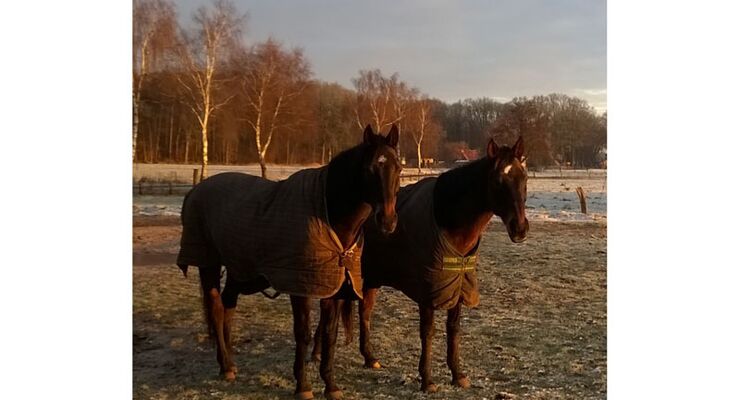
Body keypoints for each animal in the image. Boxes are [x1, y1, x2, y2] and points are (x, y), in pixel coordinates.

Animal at [177, 123, 402, 398]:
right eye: (370, 168)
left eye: (398, 168)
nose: (388, 221)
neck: (327, 213)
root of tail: (195, 190)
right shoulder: (300, 287)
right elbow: (303, 333)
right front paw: (303, 386)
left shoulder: (334, 286)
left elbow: (330, 334)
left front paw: (331, 385)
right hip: (208, 262)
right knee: (217, 308)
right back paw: (227, 366)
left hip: (239, 269)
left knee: (228, 305)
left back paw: (228, 360)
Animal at [310, 136, 528, 392]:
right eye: (497, 181)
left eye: (523, 178)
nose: (520, 229)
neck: (447, 219)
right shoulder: (428, 291)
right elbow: (428, 332)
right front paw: (427, 380)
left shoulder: (457, 286)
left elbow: (453, 329)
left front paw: (458, 374)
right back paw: (316, 354)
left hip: (369, 280)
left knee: (365, 313)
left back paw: (369, 358)